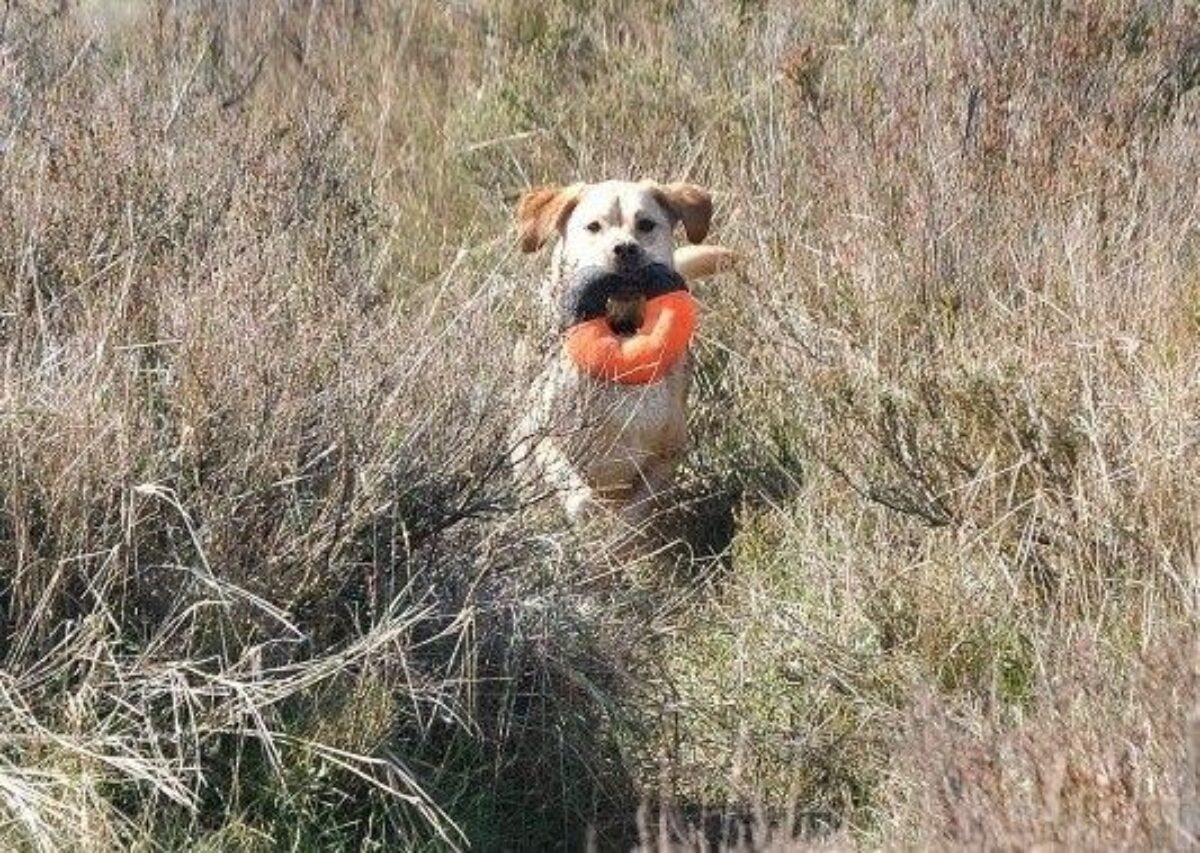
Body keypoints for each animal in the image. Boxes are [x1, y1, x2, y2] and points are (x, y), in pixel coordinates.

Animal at [508, 182, 729, 523]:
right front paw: (589, 519)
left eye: (646, 225)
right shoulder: (536, 437)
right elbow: (577, 493)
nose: (625, 249)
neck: (623, 341)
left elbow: (632, 516)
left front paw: (616, 532)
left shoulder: (667, 455)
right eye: (593, 227)